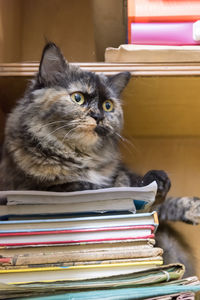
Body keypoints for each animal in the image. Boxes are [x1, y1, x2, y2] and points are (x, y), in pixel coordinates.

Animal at [0, 43, 199, 276]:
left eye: (107, 106)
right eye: (78, 98)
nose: (98, 116)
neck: (82, 156)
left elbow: (160, 201)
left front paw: (191, 205)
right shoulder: (46, 187)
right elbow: (112, 189)